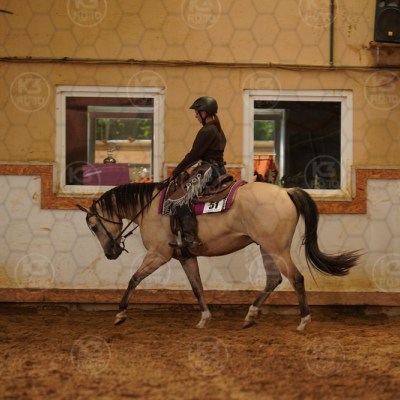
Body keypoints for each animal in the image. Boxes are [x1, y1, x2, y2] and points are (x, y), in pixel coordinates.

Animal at [77, 181, 361, 331]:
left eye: (93, 227)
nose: (111, 253)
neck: (149, 208)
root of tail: (285, 191)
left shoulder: (160, 254)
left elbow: (134, 279)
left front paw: (121, 313)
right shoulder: (185, 257)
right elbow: (197, 287)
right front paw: (204, 318)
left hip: (277, 248)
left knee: (296, 278)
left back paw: (303, 321)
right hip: (266, 247)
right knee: (274, 280)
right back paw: (250, 315)